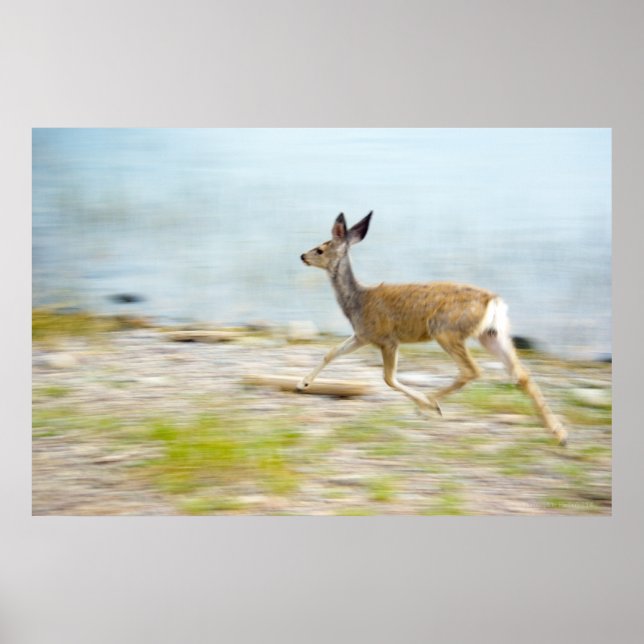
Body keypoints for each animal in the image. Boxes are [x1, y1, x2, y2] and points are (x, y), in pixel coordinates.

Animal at [297, 211, 568, 445]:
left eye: (320, 249)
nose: (302, 256)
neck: (358, 300)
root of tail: (494, 301)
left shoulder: (386, 338)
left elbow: (388, 378)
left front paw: (427, 405)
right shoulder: (362, 335)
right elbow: (331, 352)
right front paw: (302, 384)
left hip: (447, 330)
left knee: (472, 370)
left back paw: (429, 404)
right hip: (492, 335)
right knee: (521, 374)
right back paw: (560, 434)